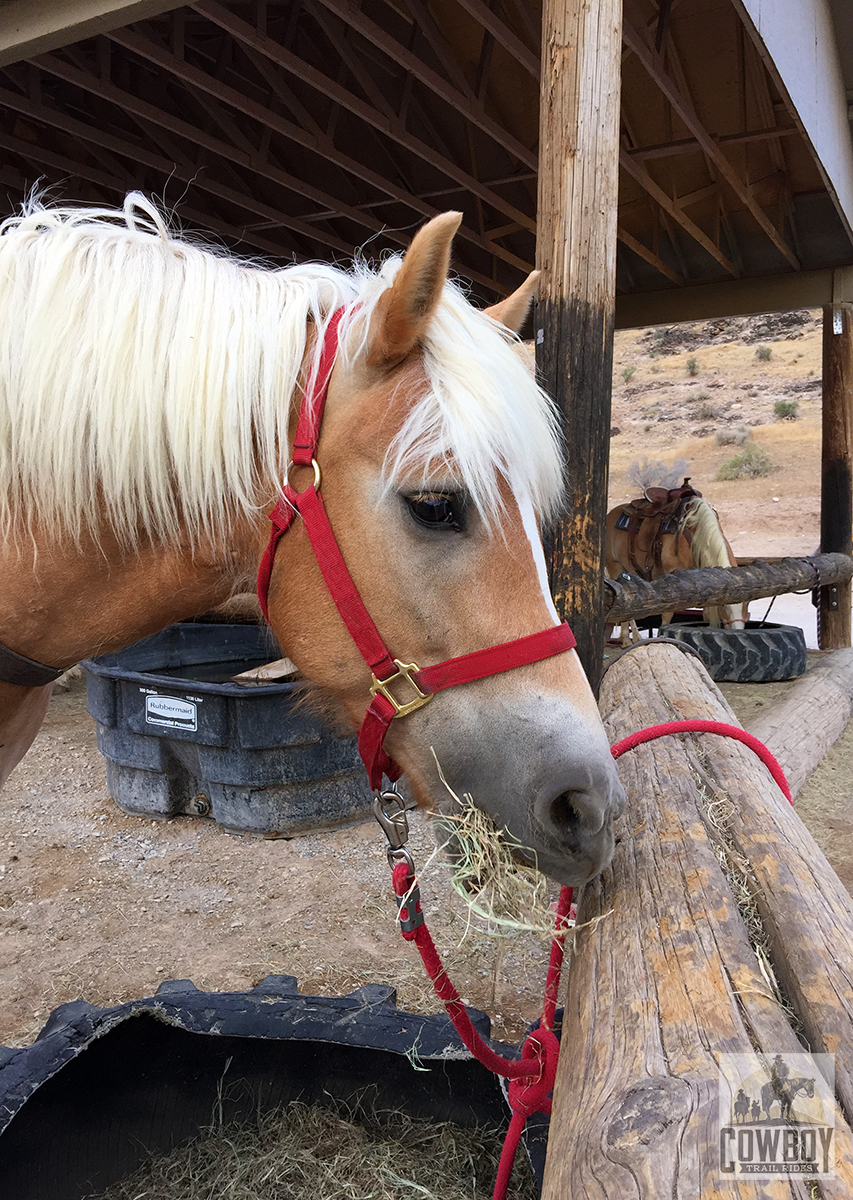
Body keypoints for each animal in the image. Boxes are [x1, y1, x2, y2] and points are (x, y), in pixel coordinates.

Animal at [607, 475, 748, 638]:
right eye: (724, 606)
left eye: (747, 605)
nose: (737, 631)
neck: (694, 534)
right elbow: (667, 614)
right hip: (615, 567)